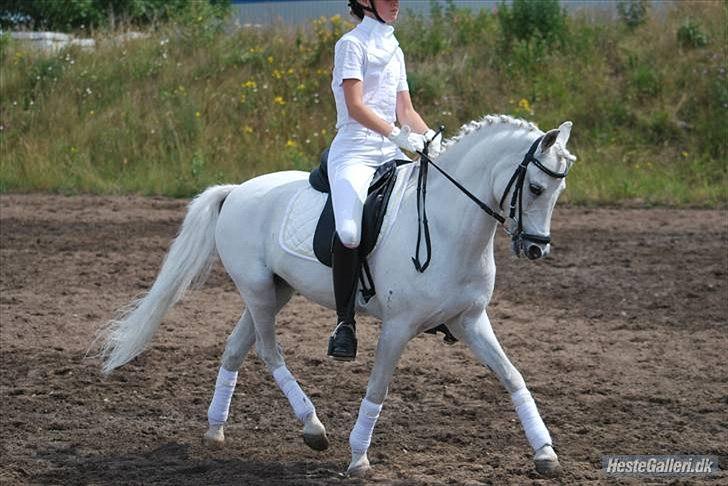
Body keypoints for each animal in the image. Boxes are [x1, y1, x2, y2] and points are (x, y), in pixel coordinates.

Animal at [98, 114, 576, 478]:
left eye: (558, 191)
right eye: (535, 188)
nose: (536, 248)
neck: (447, 227)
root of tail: (236, 191)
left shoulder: (471, 320)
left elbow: (513, 376)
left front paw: (545, 452)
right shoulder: (398, 326)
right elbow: (378, 387)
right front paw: (359, 457)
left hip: (275, 291)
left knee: (236, 348)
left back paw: (216, 430)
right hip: (258, 291)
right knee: (268, 351)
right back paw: (312, 428)